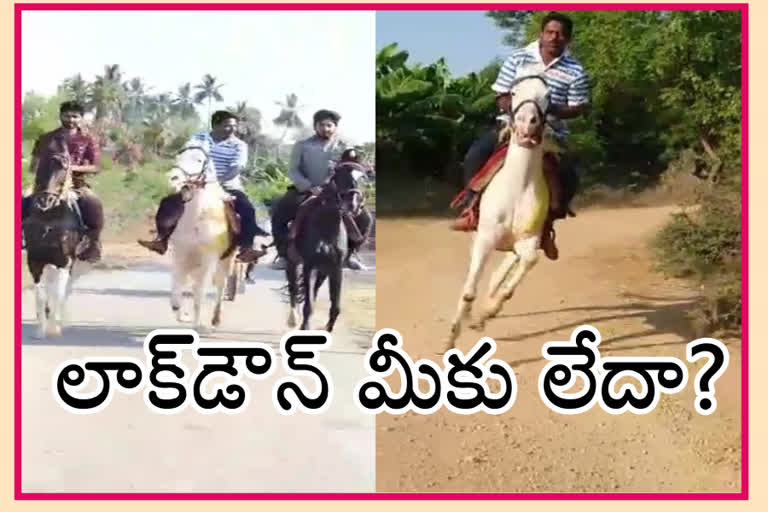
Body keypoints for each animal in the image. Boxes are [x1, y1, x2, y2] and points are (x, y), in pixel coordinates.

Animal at [22, 139, 85, 340]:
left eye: (64, 167)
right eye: (40, 164)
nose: (45, 201)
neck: (50, 217)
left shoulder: (64, 261)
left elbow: (58, 292)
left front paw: (53, 328)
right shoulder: (35, 261)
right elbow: (41, 294)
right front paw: (40, 330)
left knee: (65, 289)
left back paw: (60, 321)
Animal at [166, 146, 238, 334]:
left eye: (199, 160)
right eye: (178, 156)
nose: (173, 178)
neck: (197, 217)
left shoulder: (209, 259)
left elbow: (200, 292)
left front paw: (198, 325)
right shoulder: (180, 254)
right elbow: (178, 283)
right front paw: (179, 310)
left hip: (225, 261)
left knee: (220, 286)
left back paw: (215, 319)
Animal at [284, 164, 366, 332]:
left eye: (362, 178)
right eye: (341, 176)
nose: (354, 206)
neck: (326, 223)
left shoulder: (336, 268)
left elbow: (335, 305)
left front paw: (328, 328)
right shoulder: (309, 266)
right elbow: (308, 304)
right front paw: (304, 326)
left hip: (323, 270)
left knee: (313, 290)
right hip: (293, 262)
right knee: (293, 288)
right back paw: (293, 319)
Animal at [448, 74, 556, 350]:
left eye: (548, 95)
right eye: (514, 92)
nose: (527, 123)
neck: (518, 186)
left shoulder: (529, 239)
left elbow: (528, 262)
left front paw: (489, 311)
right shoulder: (486, 237)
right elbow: (469, 290)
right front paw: (451, 338)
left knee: (505, 268)